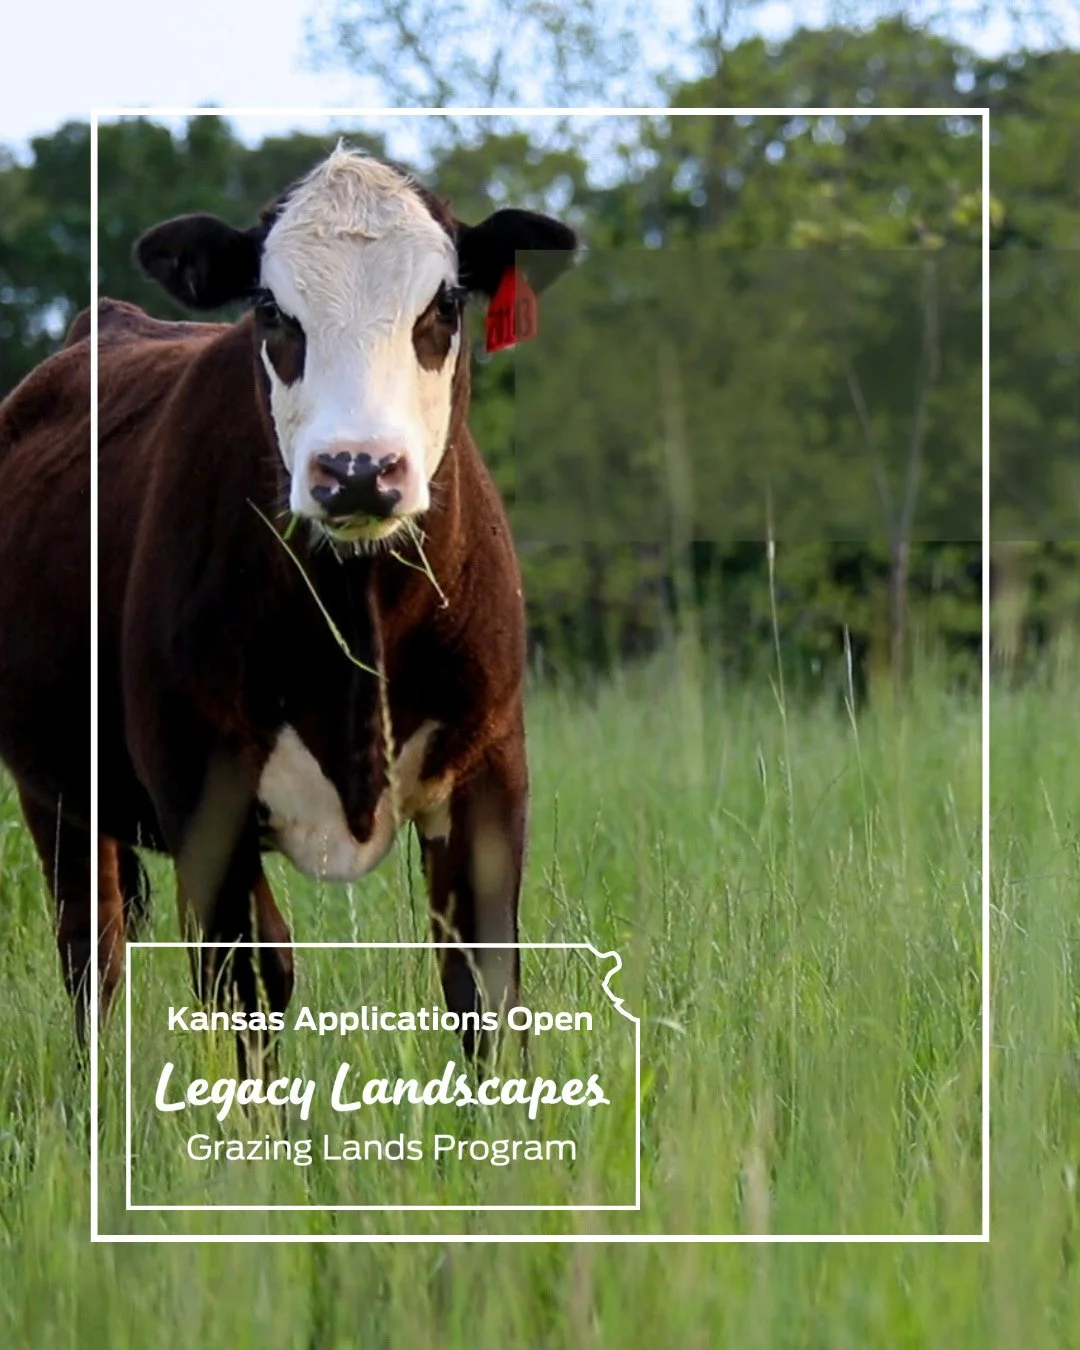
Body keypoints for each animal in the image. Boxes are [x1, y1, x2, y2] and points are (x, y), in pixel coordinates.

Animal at [0, 146, 578, 1065]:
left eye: (444, 304)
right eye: (273, 310)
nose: (357, 469)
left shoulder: (491, 770)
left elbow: (484, 983)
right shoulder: (203, 788)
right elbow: (252, 978)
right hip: (55, 793)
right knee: (93, 952)